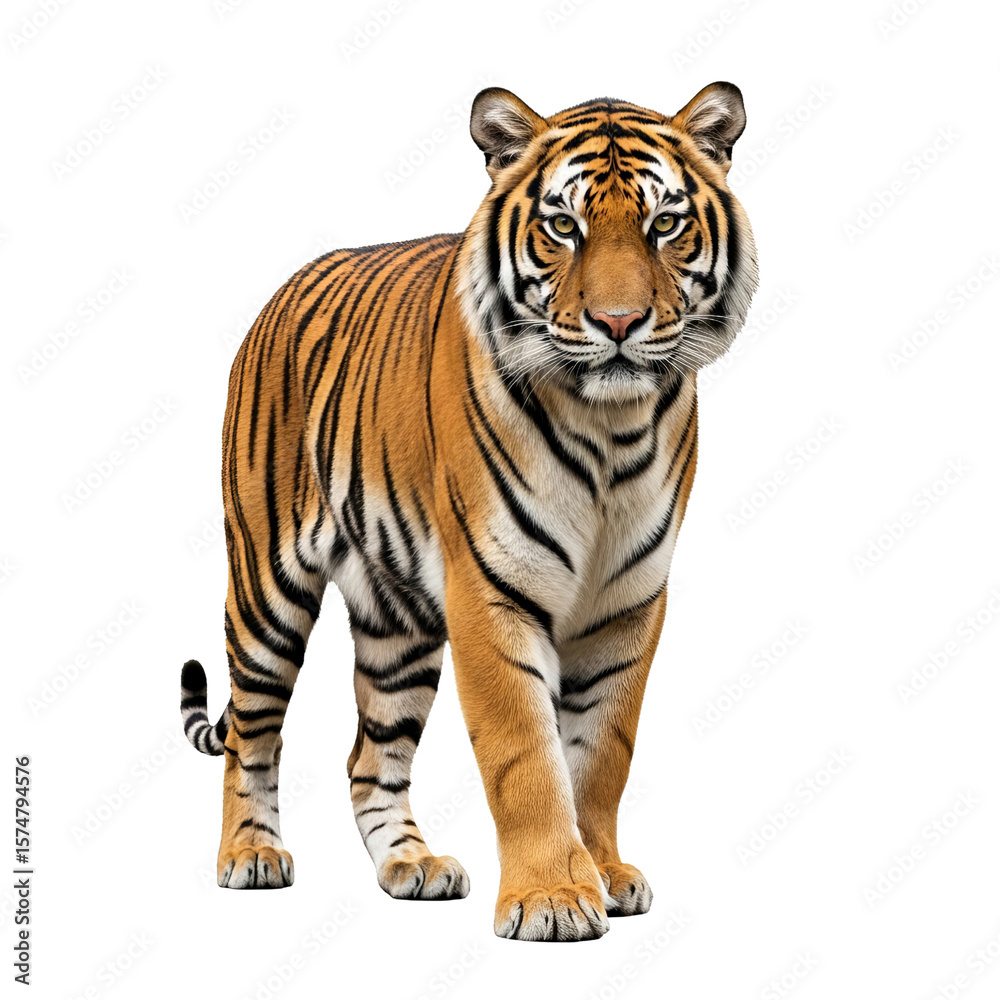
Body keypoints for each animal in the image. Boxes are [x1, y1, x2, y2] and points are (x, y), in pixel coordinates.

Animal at [179, 82, 757, 942]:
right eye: (563, 227)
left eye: (664, 225)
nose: (619, 324)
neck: (610, 431)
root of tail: (288, 285)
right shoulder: (490, 592)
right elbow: (526, 755)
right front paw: (553, 898)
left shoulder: (628, 605)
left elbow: (602, 753)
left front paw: (605, 873)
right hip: (265, 586)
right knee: (250, 733)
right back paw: (251, 855)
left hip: (397, 623)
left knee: (369, 757)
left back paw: (411, 866)